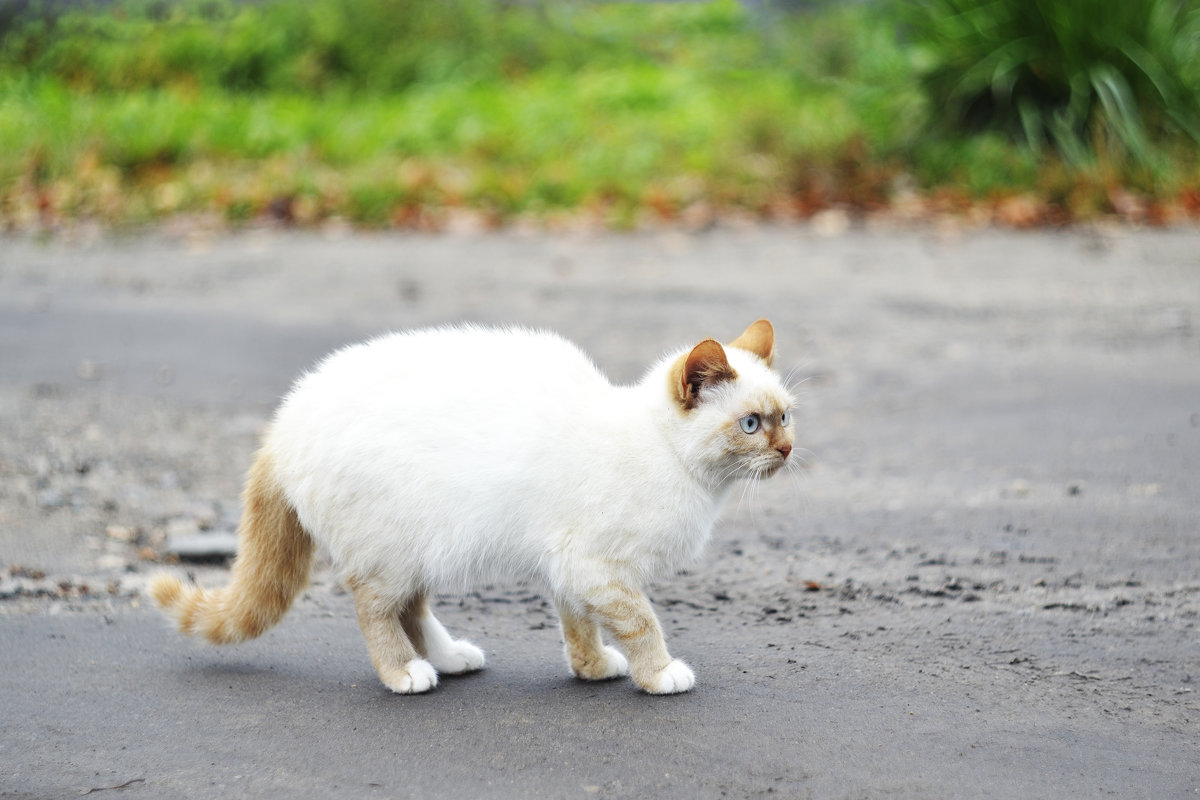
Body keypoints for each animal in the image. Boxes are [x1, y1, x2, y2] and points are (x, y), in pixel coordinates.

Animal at [154, 319, 801, 695]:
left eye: (786, 416)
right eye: (751, 424)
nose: (788, 449)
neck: (667, 457)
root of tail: (283, 423)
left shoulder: (573, 571)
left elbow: (579, 625)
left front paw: (591, 668)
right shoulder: (599, 569)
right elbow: (643, 622)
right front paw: (659, 672)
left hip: (416, 551)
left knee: (412, 608)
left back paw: (449, 657)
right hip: (390, 550)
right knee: (375, 610)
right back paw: (405, 672)